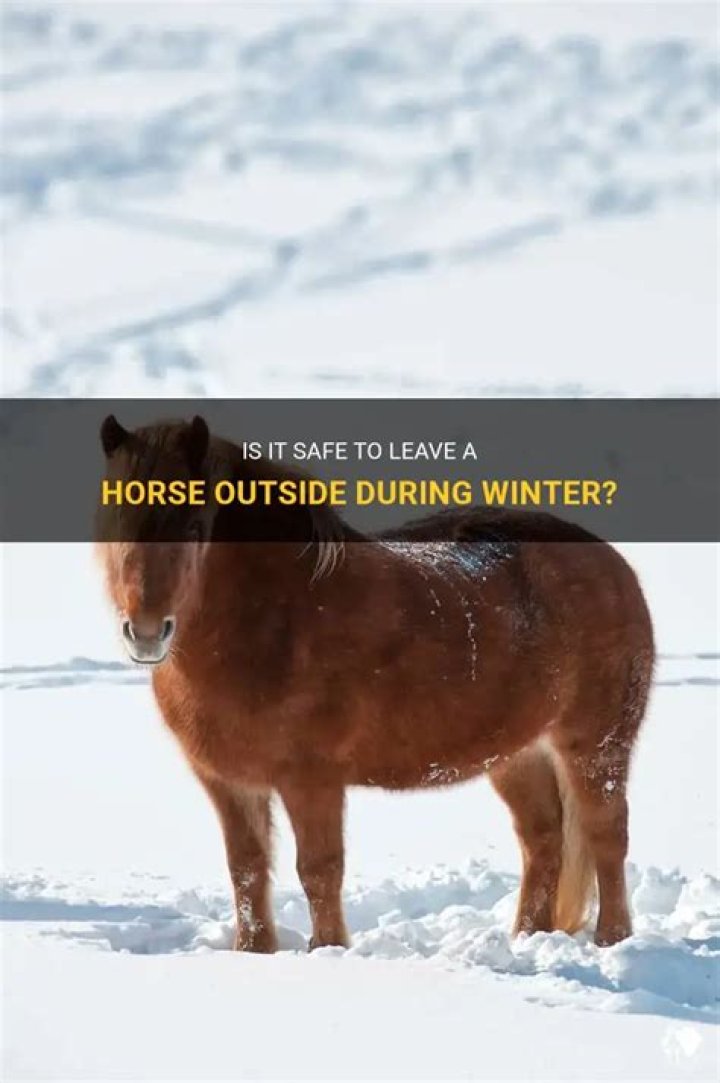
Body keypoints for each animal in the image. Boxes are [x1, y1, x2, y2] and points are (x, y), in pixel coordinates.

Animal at [95, 414, 654, 952]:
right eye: (115, 518)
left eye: (194, 524)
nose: (146, 631)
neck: (275, 618)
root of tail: (611, 562)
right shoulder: (228, 782)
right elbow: (247, 871)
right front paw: (253, 952)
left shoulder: (311, 779)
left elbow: (319, 871)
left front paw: (327, 950)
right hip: (517, 753)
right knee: (543, 838)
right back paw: (527, 938)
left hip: (595, 744)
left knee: (607, 835)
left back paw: (611, 941)